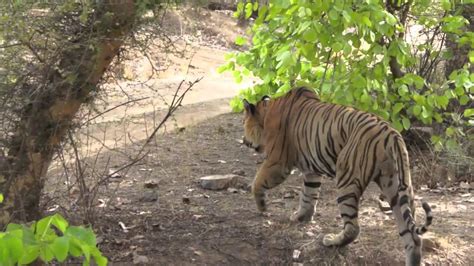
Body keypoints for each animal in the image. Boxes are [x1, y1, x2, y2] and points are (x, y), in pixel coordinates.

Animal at [244, 88, 434, 266]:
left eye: (244, 124)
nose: (244, 141)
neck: (267, 110)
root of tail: (392, 135)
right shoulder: (311, 170)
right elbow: (308, 195)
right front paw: (301, 217)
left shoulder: (278, 163)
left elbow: (258, 181)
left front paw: (262, 207)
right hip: (397, 186)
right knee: (412, 237)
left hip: (347, 179)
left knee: (353, 228)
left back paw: (331, 241)